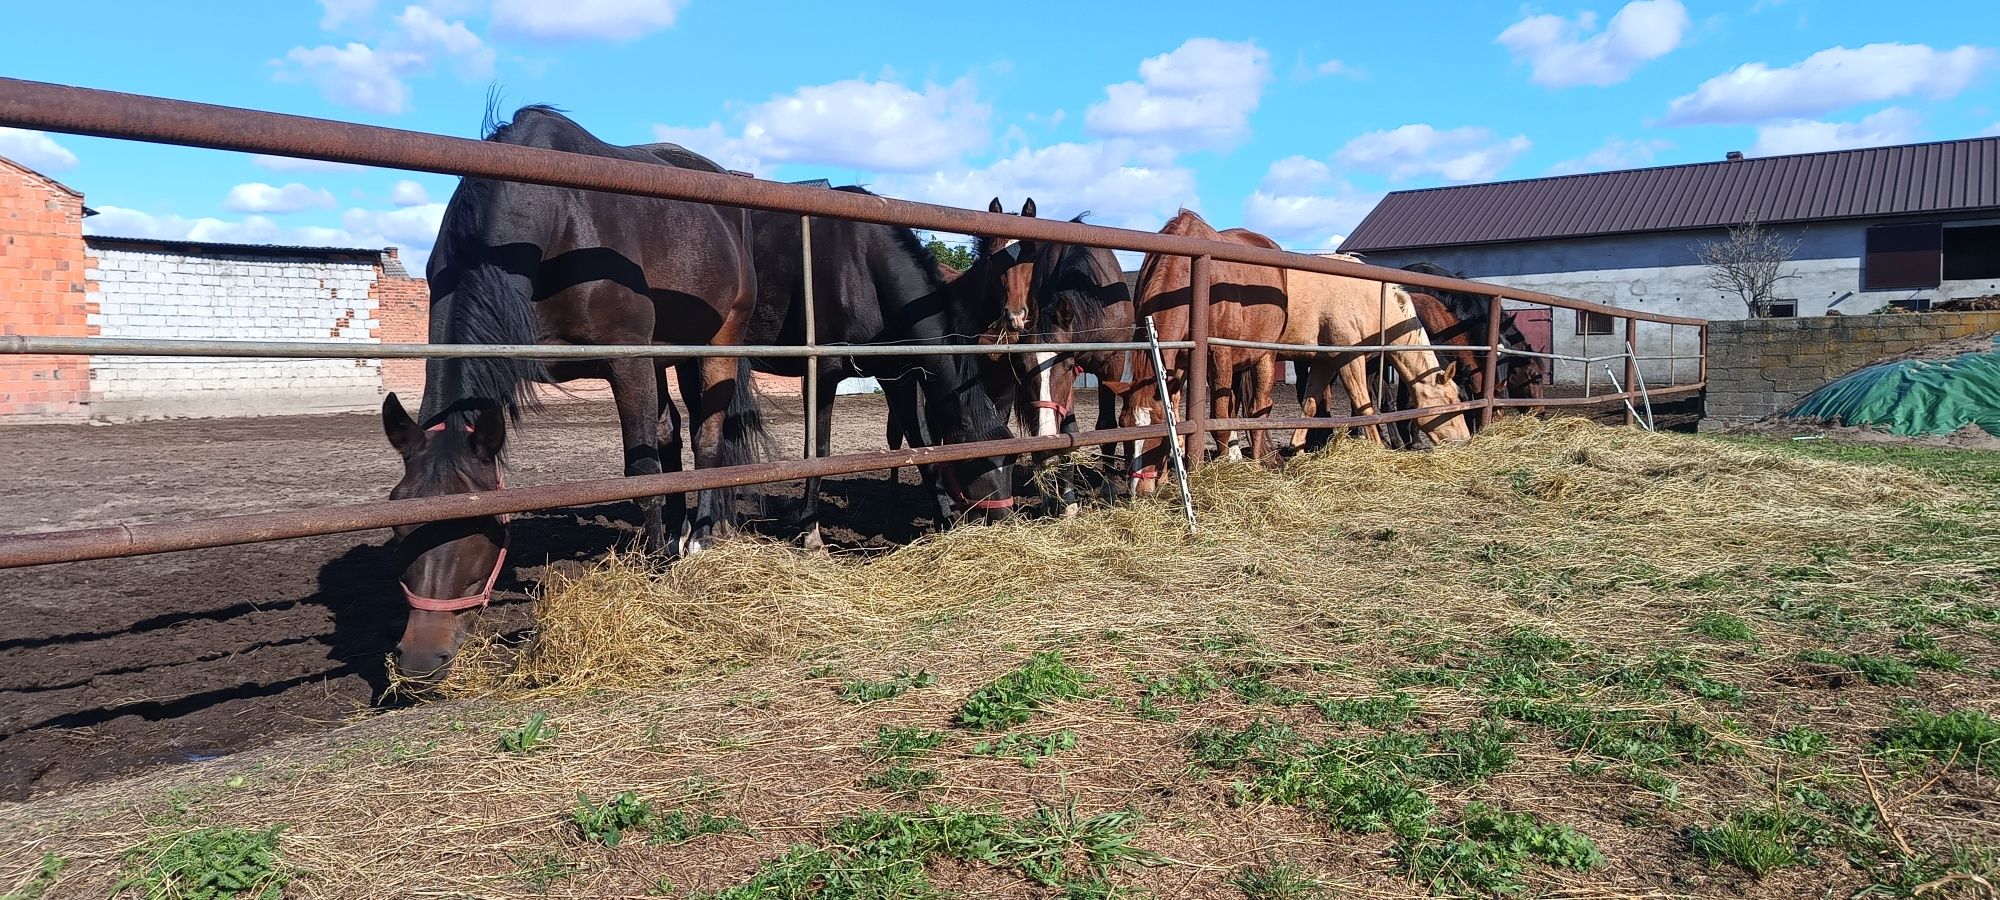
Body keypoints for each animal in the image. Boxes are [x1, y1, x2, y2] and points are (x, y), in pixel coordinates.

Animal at [380, 105, 764, 680]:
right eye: (399, 523)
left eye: (480, 521)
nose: (420, 657)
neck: (553, 218)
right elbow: (655, 454)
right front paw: (659, 551)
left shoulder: (627, 360)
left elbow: (642, 471)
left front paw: (652, 569)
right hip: (667, 354)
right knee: (671, 432)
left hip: (716, 343)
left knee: (708, 439)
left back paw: (699, 538)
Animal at [972, 196, 1136, 510]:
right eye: (1023, 369)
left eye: (1067, 366)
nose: (1014, 316)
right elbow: (1069, 431)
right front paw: (1067, 499)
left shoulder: (1112, 365)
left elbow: (1107, 426)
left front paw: (1109, 490)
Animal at [1120, 208, 1288, 496]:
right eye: (1123, 424)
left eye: (1157, 426)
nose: (1139, 490)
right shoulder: (1178, 363)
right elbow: (1182, 416)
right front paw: (1168, 478)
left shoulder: (1220, 354)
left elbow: (1218, 418)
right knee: (1234, 405)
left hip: (1264, 355)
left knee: (1259, 408)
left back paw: (1255, 464)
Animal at [1280, 264, 1472, 454]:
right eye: (1450, 401)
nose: (1464, 440)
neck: (1369, 302)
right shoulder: (1349, 360)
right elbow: (1364, 406)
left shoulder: (1325, 363)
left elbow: (1310, 404)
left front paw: (1297, 451)